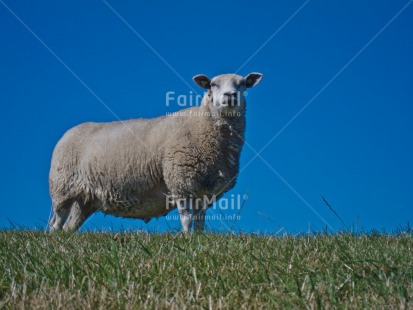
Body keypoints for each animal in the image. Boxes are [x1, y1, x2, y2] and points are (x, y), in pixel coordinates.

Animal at [48, 72, 260, 231]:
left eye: (243, 84)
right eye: (213, 85)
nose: (230, 96)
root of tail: (68, 133)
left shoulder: (205, 190)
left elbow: (200, 221)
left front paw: (199, 240)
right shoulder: (180, 181)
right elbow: (186, 218)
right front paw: (187, 239)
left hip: (85, 198)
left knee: (70, 225)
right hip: (62, 187)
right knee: (56, 221)